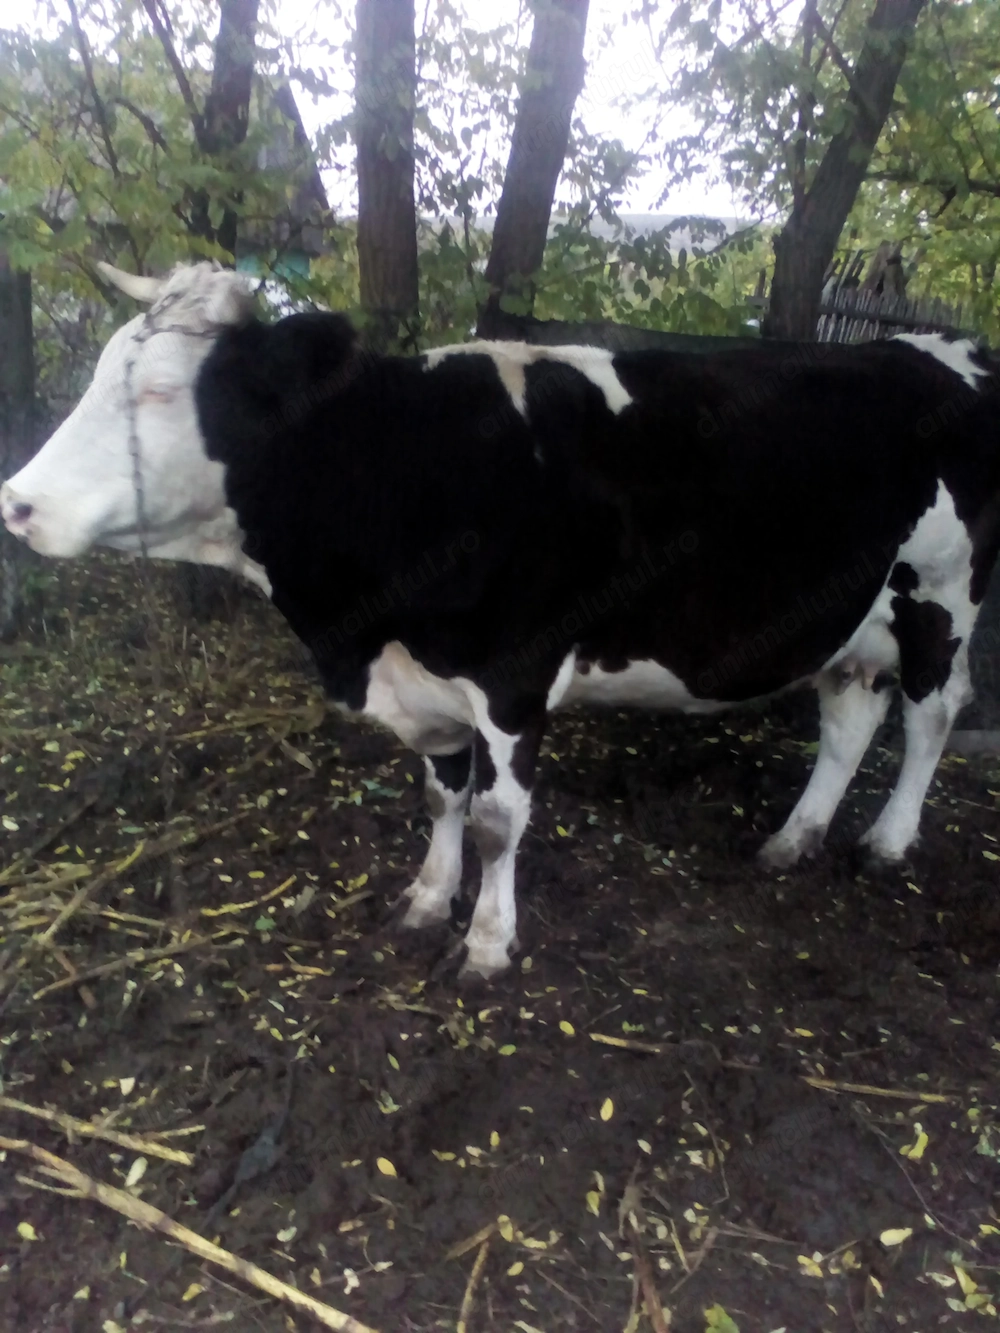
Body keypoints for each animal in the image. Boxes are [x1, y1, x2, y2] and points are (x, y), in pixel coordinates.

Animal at [3, 261, 998, 980]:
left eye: (161, 394)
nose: (18, 503)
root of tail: (935, 343)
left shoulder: (514, 675)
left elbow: (496, 816)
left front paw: (485, 941)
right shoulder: (427, 682)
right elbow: (441, 796)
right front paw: (424, 899)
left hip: (943, 591)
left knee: (930, 714)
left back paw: (887, 843)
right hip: (851, 616)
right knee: (851, 714)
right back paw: (793, 839)